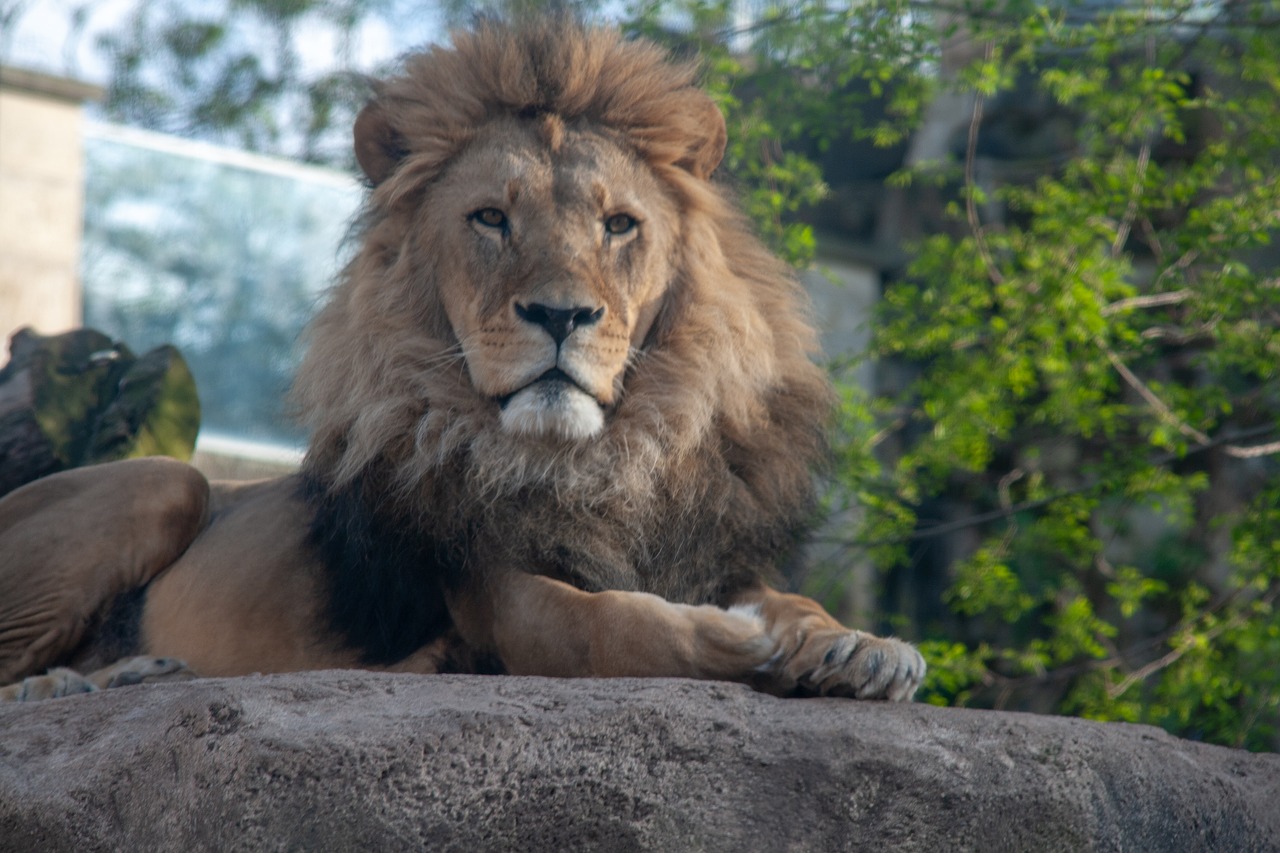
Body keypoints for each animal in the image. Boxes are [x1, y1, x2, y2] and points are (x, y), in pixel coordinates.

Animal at [0, 19, 926, 701]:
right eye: (490, 218)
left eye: (618, 225)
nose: (562, 313)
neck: (603, 460)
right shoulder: (495, 594)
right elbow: (614, 626)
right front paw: (742, 640)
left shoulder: (705, 555)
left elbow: (791, 597)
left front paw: (861, 645)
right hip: (165, 478)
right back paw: (88, 681)